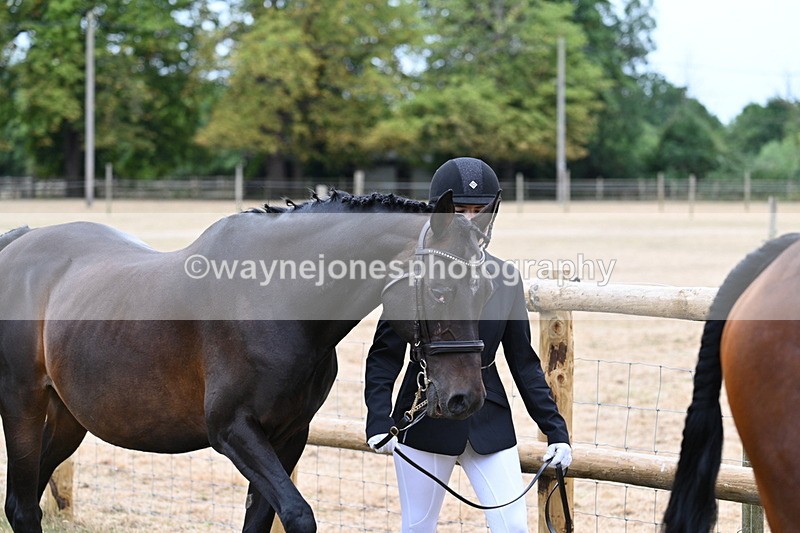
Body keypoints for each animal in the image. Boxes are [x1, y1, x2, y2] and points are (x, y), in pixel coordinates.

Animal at [0, 189, 499, 533]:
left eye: (487, 293)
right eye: (441, 291)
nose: (465, 398)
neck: (274, 297)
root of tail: (19, 242)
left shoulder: (288, 435)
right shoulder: (233, 431)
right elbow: (297, 514)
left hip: (68, 417)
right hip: (22, 406)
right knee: (21, 507)